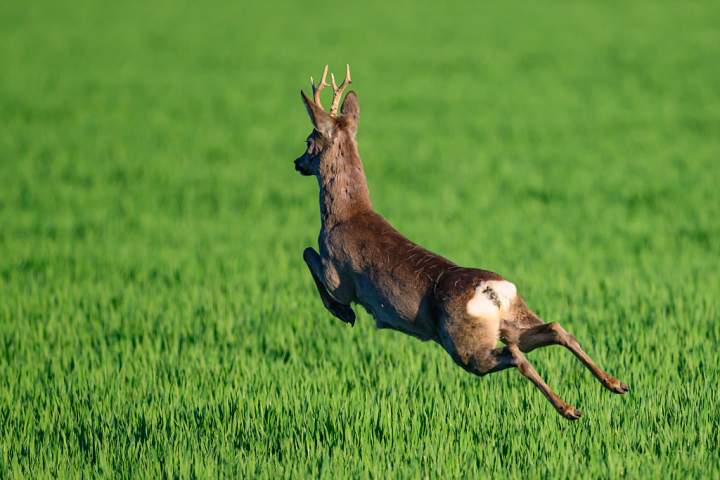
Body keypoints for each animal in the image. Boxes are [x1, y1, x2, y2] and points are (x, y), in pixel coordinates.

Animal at [294, 65, 629, 420]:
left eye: (309, 140)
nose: (297, 162)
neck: (347, 213)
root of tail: (492, 291)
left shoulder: (339, 274)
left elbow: (308, 254)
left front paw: (343, 313)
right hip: (512, 319)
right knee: (554, 329)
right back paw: (615, 384)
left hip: (464, 344)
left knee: (515, 355)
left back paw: (569, 409)